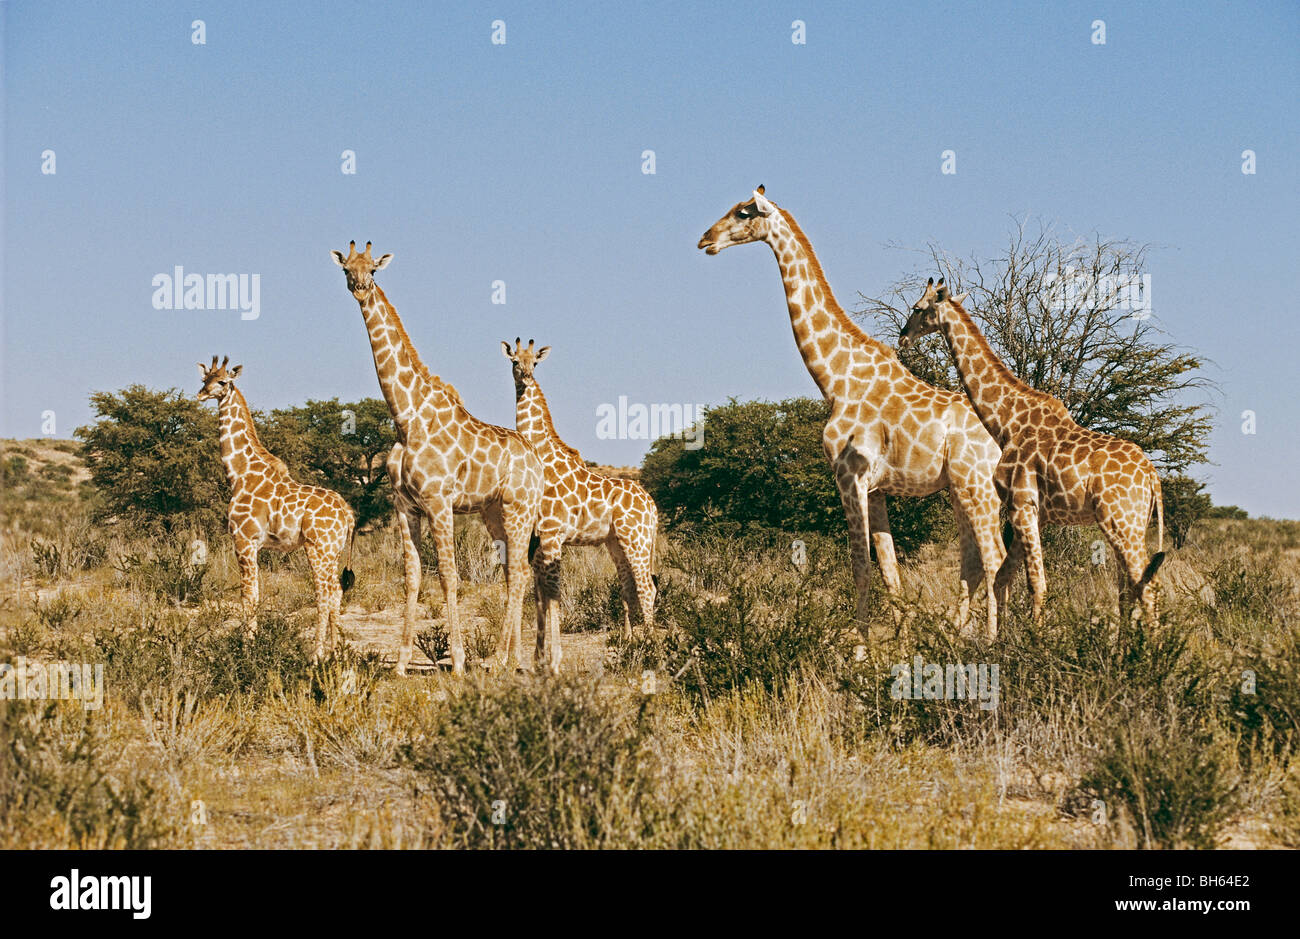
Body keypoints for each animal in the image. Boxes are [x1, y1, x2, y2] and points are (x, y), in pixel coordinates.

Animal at [195, 356, 356, 660]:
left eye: (222, 381)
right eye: (204, 379)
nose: (201, 394)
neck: (239, 473)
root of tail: (348, 514)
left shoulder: (243, 540)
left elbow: (248, 595)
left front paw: (247, 650)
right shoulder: (253, 544)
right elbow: (254, 594)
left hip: (317, 548)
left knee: (323, 594)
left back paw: (316, 656)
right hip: (334, 551)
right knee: (337, 592)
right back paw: (335, 653)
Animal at [331, 241, 544, 676]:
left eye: (373, 269)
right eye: (346, 267)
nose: (359, 287)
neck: (405, 418)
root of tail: (537, 463)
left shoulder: (439, 501)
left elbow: (449, 575)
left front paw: (459, 661)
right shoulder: (404, 505)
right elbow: (412, 577)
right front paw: (400, 663)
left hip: (520, 508)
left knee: (519, 572)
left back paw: (498, 660)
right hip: (493, 512)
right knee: (514, 572)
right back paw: (512, 659)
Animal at [501, 338, 658, 671]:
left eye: (535, 362)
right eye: (514, 361)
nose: (526, 377)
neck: (543, 453)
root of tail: (653, 507)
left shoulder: (551, 533)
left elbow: (552, 594)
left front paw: (552, 661)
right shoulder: (539, 538)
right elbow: (539, 594)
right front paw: (538, 658)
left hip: (636, 540)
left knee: (647, 587)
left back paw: (652, 649)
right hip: (616, 543)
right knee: (628, 587)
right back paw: (628, 645)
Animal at [698, 187, 1007, 637]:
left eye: (743, 212)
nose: (705, 239)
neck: (835, 377)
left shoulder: (849, 476)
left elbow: (860, 568)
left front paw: (861, 648)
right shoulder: (876, 489)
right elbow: (890, 571)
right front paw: (901, 641)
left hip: (976, 484)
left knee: (993, 555)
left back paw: (993, 638)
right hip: (962, 488)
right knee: (976, 559)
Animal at [899, 278, 1165, 622]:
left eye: (918, 308)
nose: (903, 337)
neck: (1006, 423)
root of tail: (1151, 476)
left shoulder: (1022, 504)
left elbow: (1036, 585)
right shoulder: (1030, 512)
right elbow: (1003, 577)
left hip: (1121, 522)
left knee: (1145, 586)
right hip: (1134, 524)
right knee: (1129, 589)